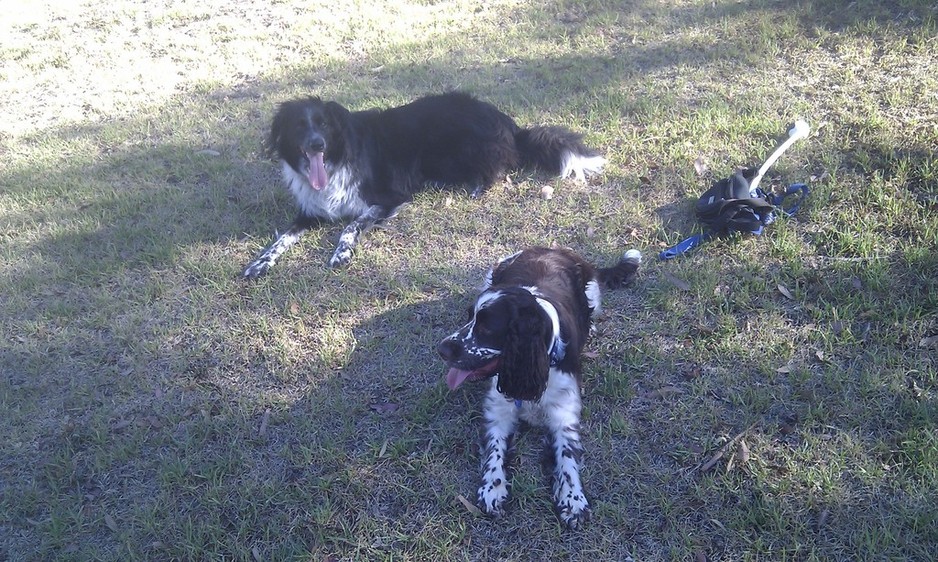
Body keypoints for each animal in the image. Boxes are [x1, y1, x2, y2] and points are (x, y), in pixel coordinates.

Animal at [243, 92, 608, 276]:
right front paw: (261, 262)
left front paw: (341, 252)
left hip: (455, 148)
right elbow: (282, 238)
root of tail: (508, 124)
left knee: (497, 168)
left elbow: (350, 225)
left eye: (323, 124)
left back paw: (475, 186)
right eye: (299, 126)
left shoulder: (388, 197)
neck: (336, 158)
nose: (316, 144)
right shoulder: (311, 211)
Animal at [436, 244, 640, 524]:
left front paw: (573, 499)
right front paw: (492, 488)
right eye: (469, 318)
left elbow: (567, 456)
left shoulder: (564, 413)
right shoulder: (498, 411)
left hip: (592, 294)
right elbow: (494, 450)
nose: (442, 349)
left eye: (486, 328)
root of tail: (555, 249)